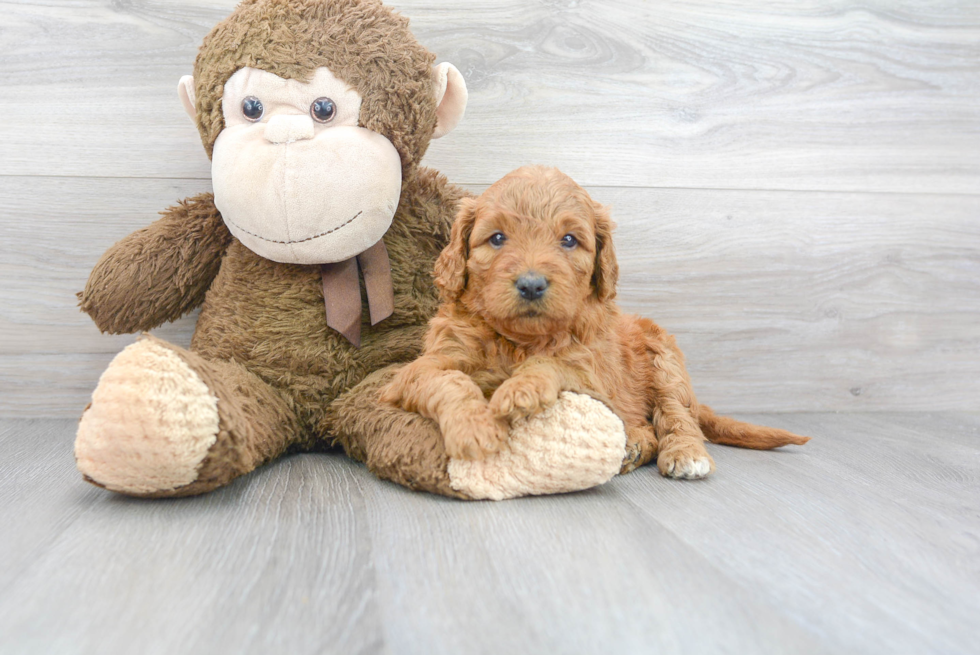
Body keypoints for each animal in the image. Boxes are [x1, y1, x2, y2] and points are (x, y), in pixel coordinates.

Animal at [378, 167, 808, 480]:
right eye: (497, 238)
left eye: (569, 240)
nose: (531, 284)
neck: (518, 341)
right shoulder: (422, 367)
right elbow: (448, 380)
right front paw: (474, 427)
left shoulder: (593, 375)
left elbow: (552, 363)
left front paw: (520, 390)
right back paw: (634, 444)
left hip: (665, 359)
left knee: (676, 415)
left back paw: (685, 454)